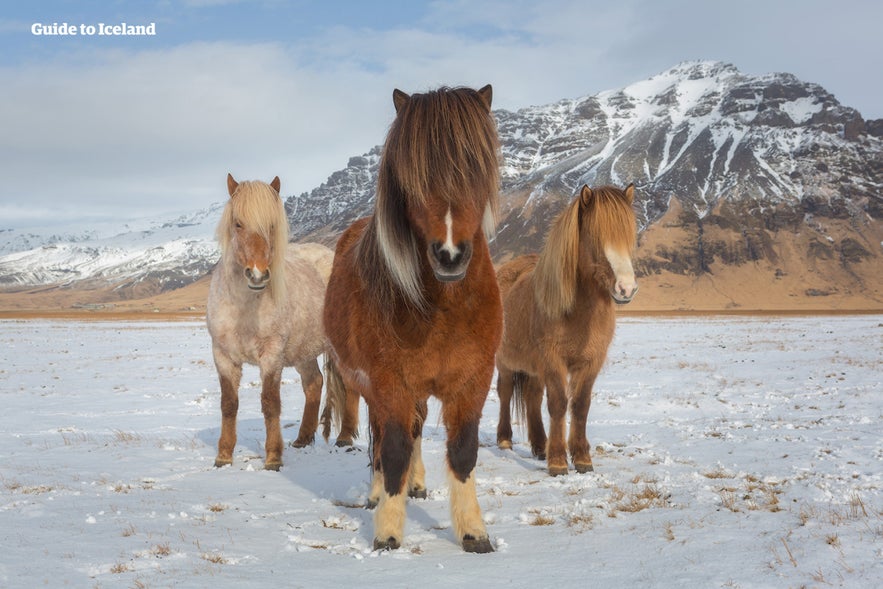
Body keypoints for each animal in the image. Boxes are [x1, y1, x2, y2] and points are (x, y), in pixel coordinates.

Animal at [209, 173, 344, 468]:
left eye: (272, 225)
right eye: (238, 223)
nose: (258, 275)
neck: (245, 308)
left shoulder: (271, 355)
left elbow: (270, 403)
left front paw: (273, 457)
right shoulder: (222, 355)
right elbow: (228, 404)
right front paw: (223, 455)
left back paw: (345, 440)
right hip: (305, 351)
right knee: (314, 383)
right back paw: (303, 439)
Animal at [324, 84, 504, 552]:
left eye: (477, 168)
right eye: (412, 179)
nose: (450, 254)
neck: (443, 308)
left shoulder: (474, 381)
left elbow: (462, 452)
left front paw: (473, 532)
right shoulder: (389, 383)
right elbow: (393, 450)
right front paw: (388, 531)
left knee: (419, 427)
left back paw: (417, 485)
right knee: (384, 439)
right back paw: (376, 494)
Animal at [498, 186, 636, 476]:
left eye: (629, 235)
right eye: (595, 236)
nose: (626, 288)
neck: (578, 312)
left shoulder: (591, 361)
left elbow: (580, 406)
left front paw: (582, 458)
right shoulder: (553, 360)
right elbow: (559, 404)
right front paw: (559, 461)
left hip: (534, 367)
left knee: (532, 396)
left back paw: (540, 446)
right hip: (505, 362)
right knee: (505, 391)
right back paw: (505, 440)